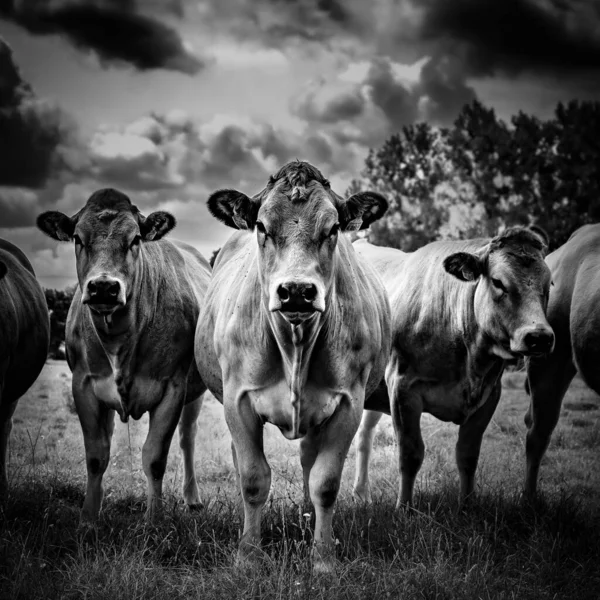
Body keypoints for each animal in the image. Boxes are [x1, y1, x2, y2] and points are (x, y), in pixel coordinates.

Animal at [37, 190, 211, 524]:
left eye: (135, 239)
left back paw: (193, 498)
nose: (104, 287)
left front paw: (154, 519)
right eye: (78, 238)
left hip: (194, 393)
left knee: (188, 437)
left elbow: (155, 457)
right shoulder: (84, 385)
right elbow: (96, 455)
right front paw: (88, 518)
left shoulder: (173, 387)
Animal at [195, 159, 392, 572]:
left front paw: (323, 557)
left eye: (333, 228)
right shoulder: (238, 400)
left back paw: (305, 514)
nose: (297, 291)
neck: (295, 349)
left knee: (307, 463)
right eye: (261, 226)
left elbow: (325, 483)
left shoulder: (348, 404)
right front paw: (248, 555)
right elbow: (253, 479)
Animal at [352, 227, 552, 508]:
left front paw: (467, 504)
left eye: (548, 283)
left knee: (364, 435)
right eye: (498, 282)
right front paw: (404, 507)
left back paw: (361, 492)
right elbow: (410, 453)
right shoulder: (403, 388)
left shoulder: (489, 394)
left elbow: (468, 454)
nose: (539, 337)